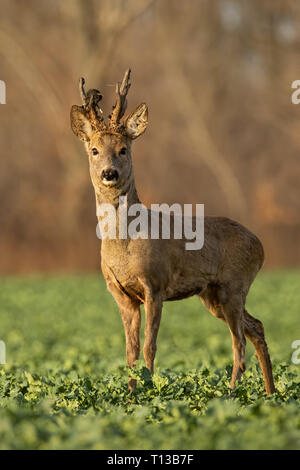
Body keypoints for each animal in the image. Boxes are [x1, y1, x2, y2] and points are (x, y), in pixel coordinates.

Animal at [70, 68, 276, 394]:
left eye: (123, 149)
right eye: (94, 149)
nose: (109, 173)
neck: (125, 243)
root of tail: (260, 245)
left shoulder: (155, 284)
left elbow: (149, 347)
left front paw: (150, 388)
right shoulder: (121, 293)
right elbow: (129, 351)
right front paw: (131, 394)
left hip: (234, 285)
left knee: (239, 342)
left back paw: (231, 393)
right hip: (212, 294)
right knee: (256, 326)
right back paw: (270, 393)